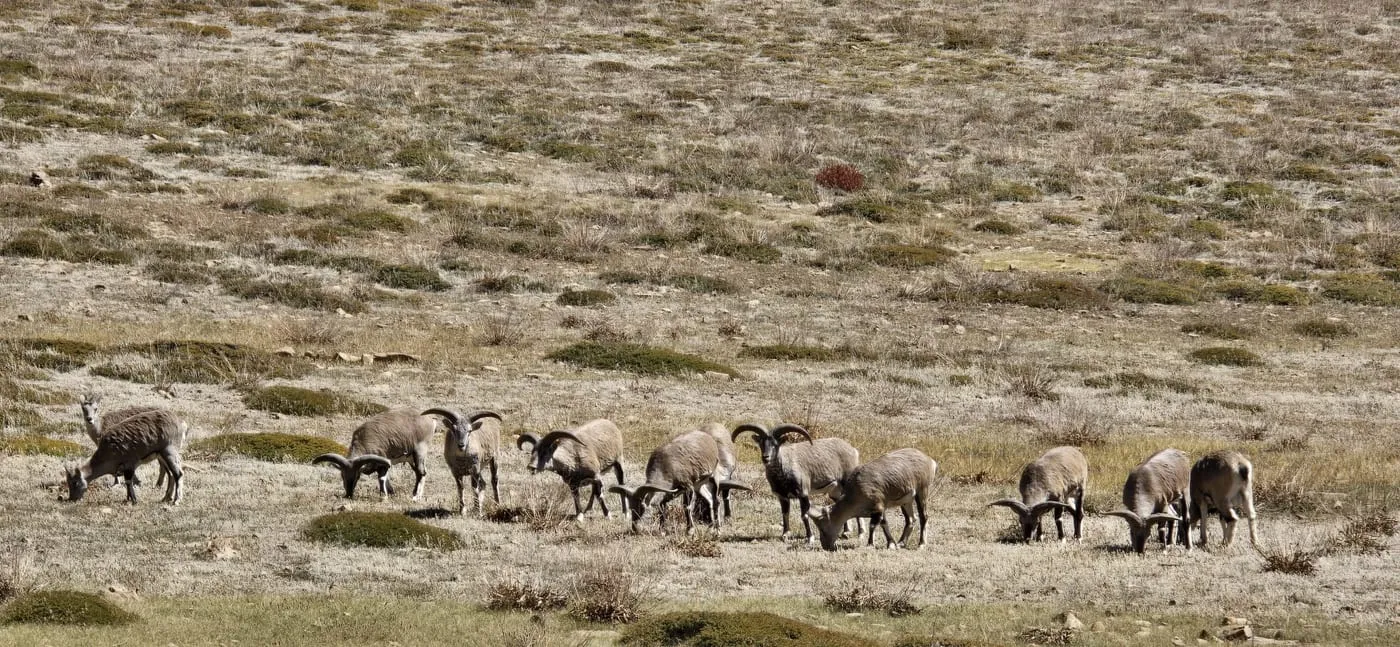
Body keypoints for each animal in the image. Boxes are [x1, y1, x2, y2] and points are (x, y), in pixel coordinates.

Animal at [608, 428, 749, 534]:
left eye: (641, 506)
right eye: (631, 507)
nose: (634, 527)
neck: (666, 465)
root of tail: (708, 438)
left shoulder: (687, 486)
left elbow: (686, 507)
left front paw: (690, 530)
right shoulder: (672, 490)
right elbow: (662, 505)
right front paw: (662, 529)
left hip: (712, 476)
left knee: (716, 501)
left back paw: (717, 529)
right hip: (699, 485)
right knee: (709, 499)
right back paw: (710, 527)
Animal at [730, 423, 860, 543]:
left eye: (775, 444)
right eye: (762, 443)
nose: (766, 457)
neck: (784, 471)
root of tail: (853, 450)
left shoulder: (803, 494)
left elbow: (804, 515)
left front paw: (810, 537)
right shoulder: (782, 497)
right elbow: (785, 514)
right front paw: (785, 535)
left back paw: (857, 534)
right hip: (834, 491)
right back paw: (846, 532)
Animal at [806, 448, 938, 551]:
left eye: (823, 528)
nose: (826, 546)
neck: (856, 492)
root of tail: (930, 461)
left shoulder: (878, 505)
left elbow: (873, 525)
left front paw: (870, 544)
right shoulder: (881, 507)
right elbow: (884, 523)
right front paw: (892, 544)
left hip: (922, 491)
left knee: (924, 516)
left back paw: (921, 544)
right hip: (906, 500)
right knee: (911, 519)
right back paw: (901, 543)